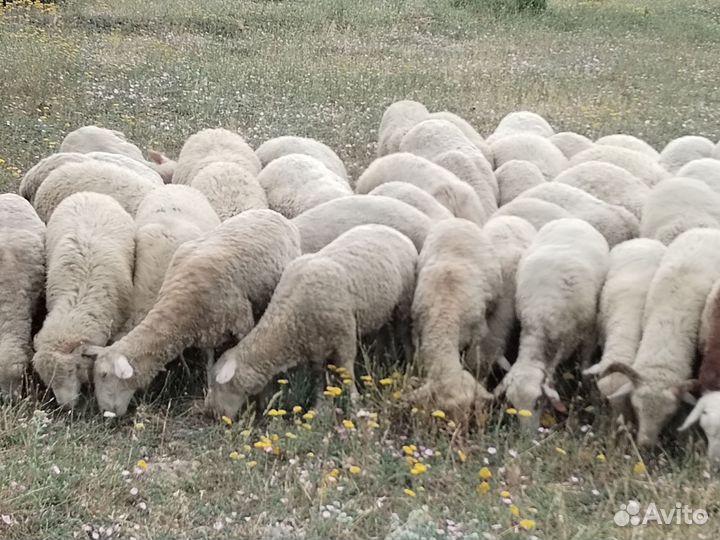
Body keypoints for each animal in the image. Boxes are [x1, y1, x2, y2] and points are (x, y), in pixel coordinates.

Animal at [82, 209, 301, 416]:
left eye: (104, 375)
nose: (105, 413)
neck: (182, 303)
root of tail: (271, 213)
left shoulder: (241, 322)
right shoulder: (208, 333)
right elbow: (209, 363)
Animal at [205, 224, 417, 419]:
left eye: (219, 387)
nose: (213, 414)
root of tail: (391, 229)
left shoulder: (344, 339)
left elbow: (347, 374)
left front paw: (355, 405)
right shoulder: (315, 349)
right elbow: (318, 378)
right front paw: (320, 406)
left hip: (403, 302)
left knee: (404, 335)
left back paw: (409, 367)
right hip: (381, 309)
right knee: (383, 331)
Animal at [407, 219, 503, 422]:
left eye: (470, 409)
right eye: (442, 411)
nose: (461, 429)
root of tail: (456, 220)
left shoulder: (479, 332)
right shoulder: (417, 331)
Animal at [494, 219, 609, 427]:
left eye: (538, 402)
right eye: (513, 403)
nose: (526, 435)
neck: (543, 323)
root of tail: (571, 220)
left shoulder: (590, 331)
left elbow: (585, 364)